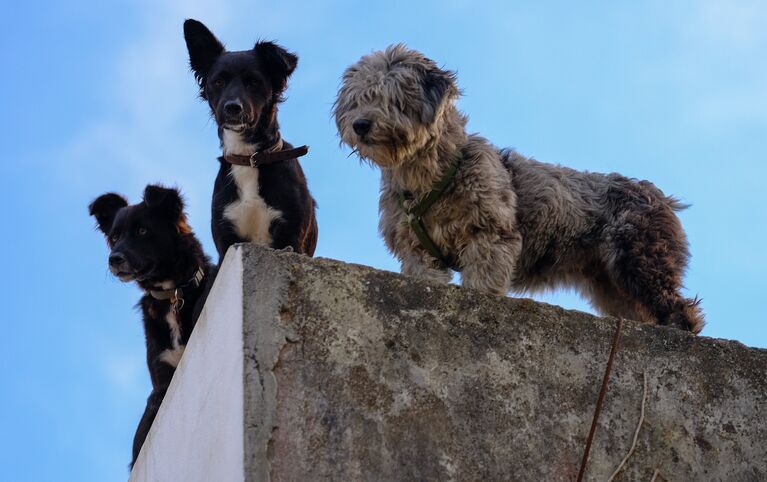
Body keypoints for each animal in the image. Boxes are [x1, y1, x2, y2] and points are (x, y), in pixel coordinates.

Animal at [183, 18, 318, 262]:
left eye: (254, 82)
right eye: (218, 81)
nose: (232, 108)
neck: (250, 158)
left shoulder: (292, 237)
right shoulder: (226, 239)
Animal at [332, 44, 704, 336]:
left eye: (394, 97)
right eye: (360, 98)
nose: (360, 125)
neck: (429, 178)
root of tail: (661, 198)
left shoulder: (490, 236)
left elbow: (481, 282)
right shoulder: (416, 252)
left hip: (639, 259)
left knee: (682, 310)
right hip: (610, 283)